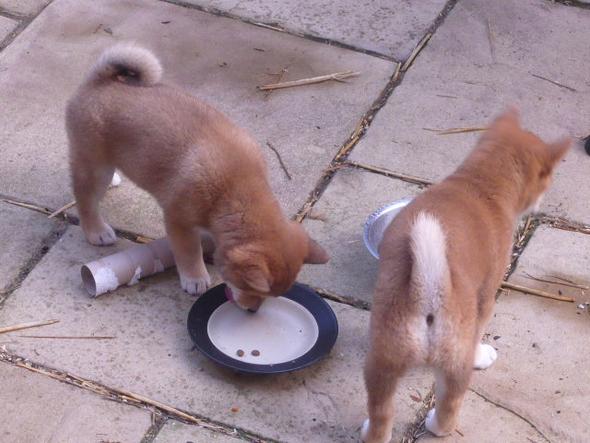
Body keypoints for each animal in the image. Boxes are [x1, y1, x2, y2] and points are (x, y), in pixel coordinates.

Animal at [68, 43, 332, 310]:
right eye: (251, 289)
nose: (252, 310)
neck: (235, 189)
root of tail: (100, 81)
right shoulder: (179, 221)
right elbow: (189, 252)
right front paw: (195, 278)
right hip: (94, 168)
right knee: (85, 199)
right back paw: (97, 231)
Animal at [364, 109, 572, 442]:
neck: (479, 182)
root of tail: (427, 290)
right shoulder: (486, 296)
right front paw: (482, 353)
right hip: (454, 366)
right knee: (449, 408)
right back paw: (436, 422)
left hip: (381, 362)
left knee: (381, 416)